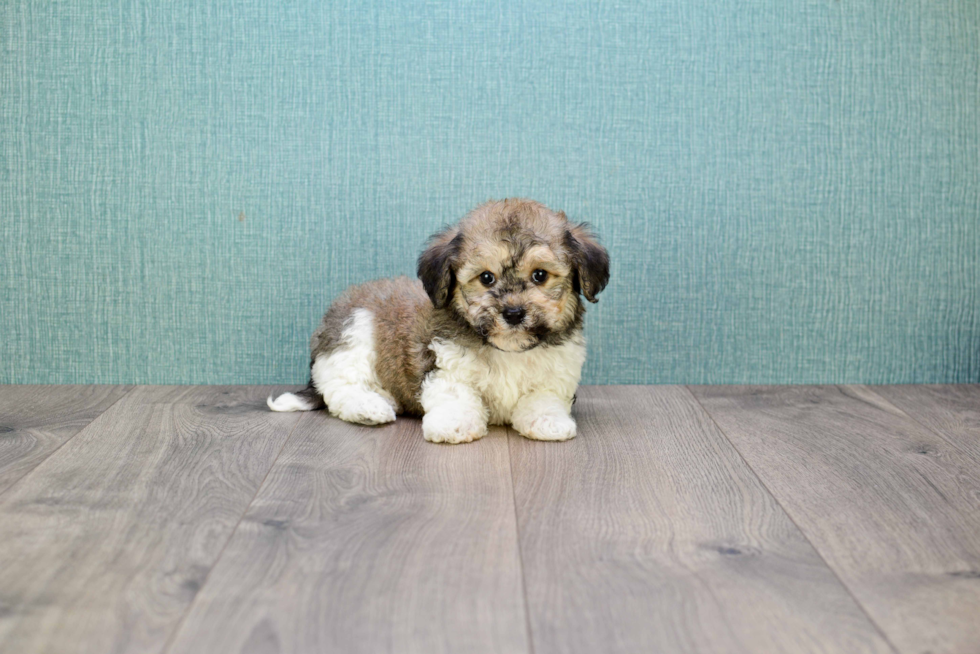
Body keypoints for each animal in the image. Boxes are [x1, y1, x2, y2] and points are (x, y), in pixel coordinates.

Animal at [264, 200, 608, 446]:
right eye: (486, 278)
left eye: (539, 275)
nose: (512, 313)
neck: (506, 349)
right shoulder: (445, 366)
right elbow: (456, 394)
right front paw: (454, 424)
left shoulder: (556, 373)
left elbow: (543, 398)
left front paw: (548, 421)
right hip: (354, 335)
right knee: (340, 388)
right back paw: (369, 407)